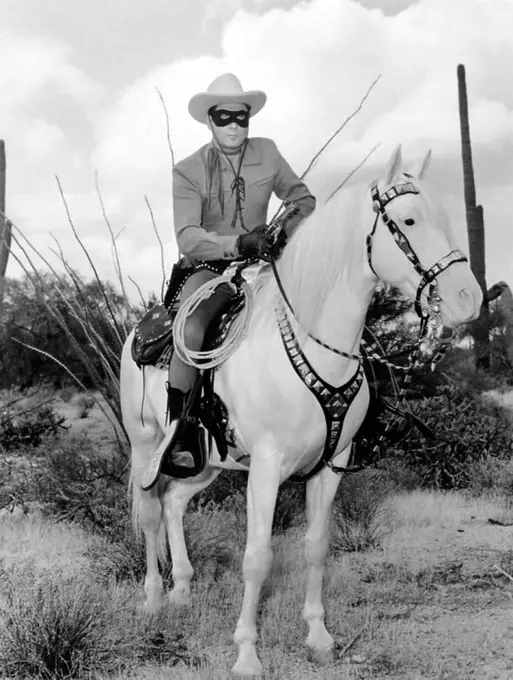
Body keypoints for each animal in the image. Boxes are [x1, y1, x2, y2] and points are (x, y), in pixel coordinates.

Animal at [120, 147, 480, 676]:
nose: (467, 299)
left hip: (206, 461)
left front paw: (318, 635)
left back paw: (183, 587)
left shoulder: (330, 466)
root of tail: (141, 330)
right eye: (410, 220)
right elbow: (257, 557)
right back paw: (152, 599)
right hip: (146, 447)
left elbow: (315, 547)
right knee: (148, 512)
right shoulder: (267, 470)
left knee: (174, 503)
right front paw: (247, 653)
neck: (315, 344)